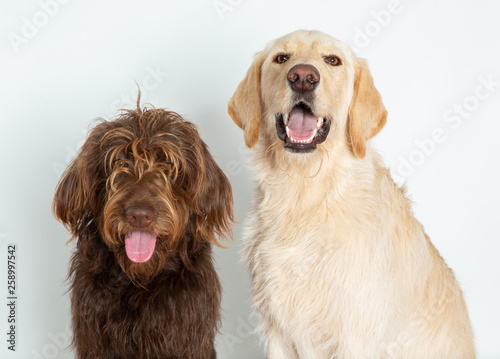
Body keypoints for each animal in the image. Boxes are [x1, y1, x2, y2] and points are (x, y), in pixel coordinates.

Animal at [229, 30, 474, 359]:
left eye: (333, 60)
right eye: (281, 58)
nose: (302, 77)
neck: (305, 195)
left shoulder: (355, 337)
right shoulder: (278, 334)